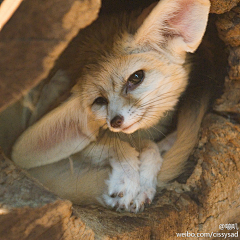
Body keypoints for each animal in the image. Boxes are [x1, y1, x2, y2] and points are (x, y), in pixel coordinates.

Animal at [11, 0, 210, 213]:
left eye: (136, 77)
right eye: (99, 101)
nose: (115, 122)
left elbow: (150, 147)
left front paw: (144, 183)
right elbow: (118, 145)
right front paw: (129, 180)